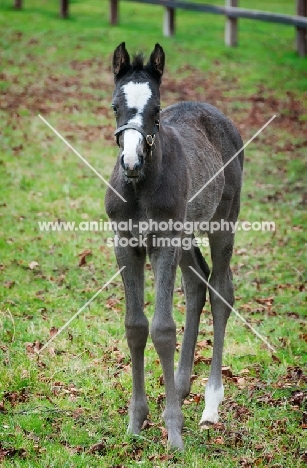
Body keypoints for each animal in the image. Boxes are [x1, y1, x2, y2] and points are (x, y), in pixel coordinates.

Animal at [104, 44, 244, 450]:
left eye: (156, 109)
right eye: (115, 106)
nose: (131, 161)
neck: (140, 186)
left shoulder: (163, 245)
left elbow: (163, 329)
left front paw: (174, 433)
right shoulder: (125, 244)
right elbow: (135, 326)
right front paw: (136, 423)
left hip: (222, 223)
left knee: (221, 290)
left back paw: (210, 405)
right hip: (186, 235)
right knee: (197, 282)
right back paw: (180, 389)